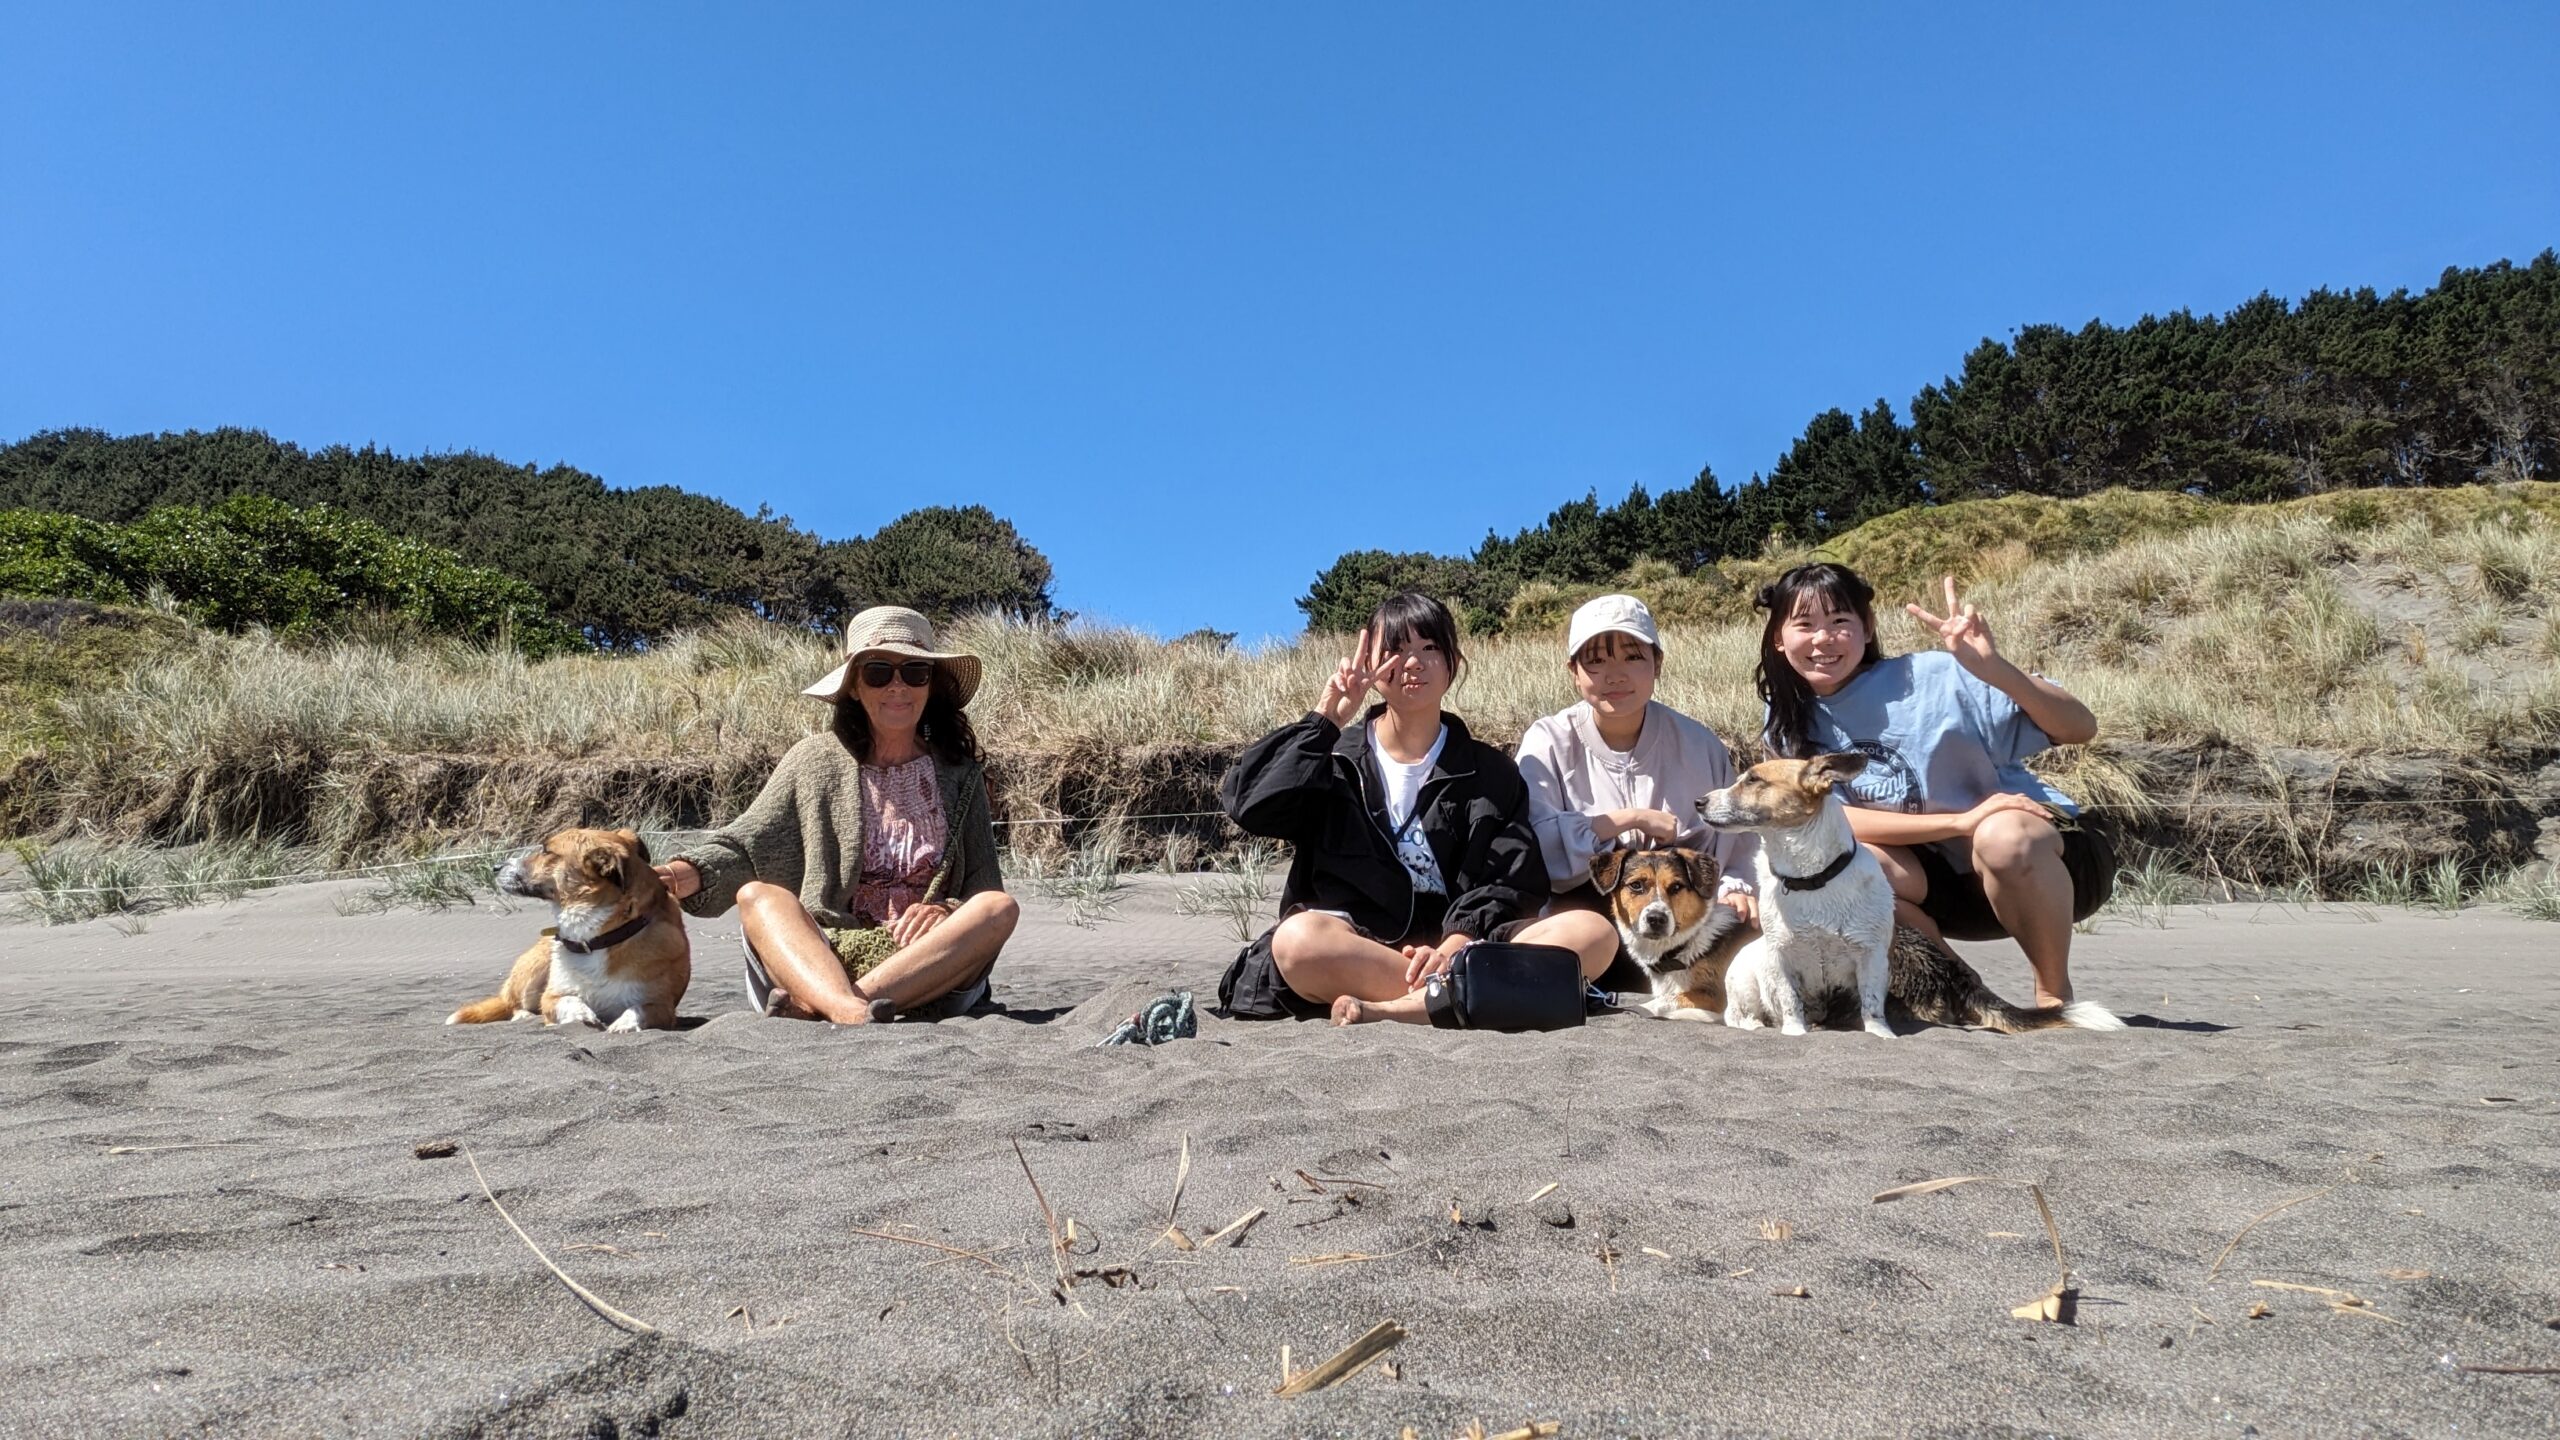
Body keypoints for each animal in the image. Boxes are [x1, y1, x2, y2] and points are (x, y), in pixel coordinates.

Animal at [446, 828, 691, 1032]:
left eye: (546, 851)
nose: (495, 867)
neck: (597, 940)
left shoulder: (661, 1005)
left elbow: (639, 1010)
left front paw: (622, 1025)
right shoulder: (552, 997)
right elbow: (568, 1000)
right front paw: (581, 1015)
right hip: (536, 966)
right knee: (511, 1002)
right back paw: (523, 1015)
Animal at [1698, 755, 2124, 1036]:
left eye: (1753, 780)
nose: (1699, 801)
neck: (1812, 880)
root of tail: (1954, 973)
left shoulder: (1869, 957)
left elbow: (1872, 1008)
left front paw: (1878, 1033)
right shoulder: (1783, 958)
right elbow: (1792, 1005)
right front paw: (1795, 1029)